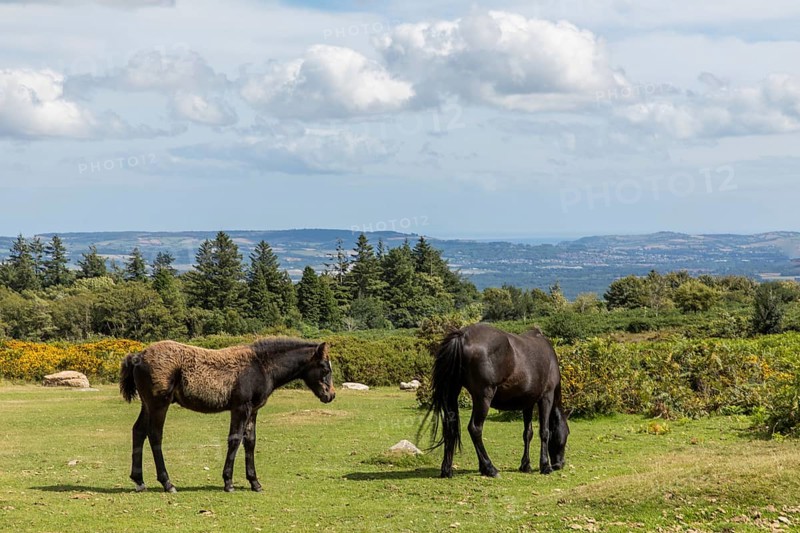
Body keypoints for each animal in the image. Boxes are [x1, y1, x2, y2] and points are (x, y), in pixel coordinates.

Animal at [119, 337, 335, 493]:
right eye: (325, 368)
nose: (330, 395)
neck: (260, 366)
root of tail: (138, 357)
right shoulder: (240, 407)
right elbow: (235, 439)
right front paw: (228, 482)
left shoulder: (253, 410)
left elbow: (250, 441)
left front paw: (255, 482)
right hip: (159, 404)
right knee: (155, 435)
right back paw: (167, 483)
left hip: (147, 404)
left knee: (138, 431)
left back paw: (139, 481)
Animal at [425, 323, 569, 478]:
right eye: (567, 433)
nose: (560, 464)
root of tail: (462, 335)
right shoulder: (546, 398)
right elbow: (544, 432)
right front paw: (545, 466)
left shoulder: (528, 403)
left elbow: (527, 433)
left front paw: (526, 465)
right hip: (483, 397)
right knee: (475, 428)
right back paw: (490, 468)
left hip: (452, 392)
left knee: (449, 426)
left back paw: (448, 470)